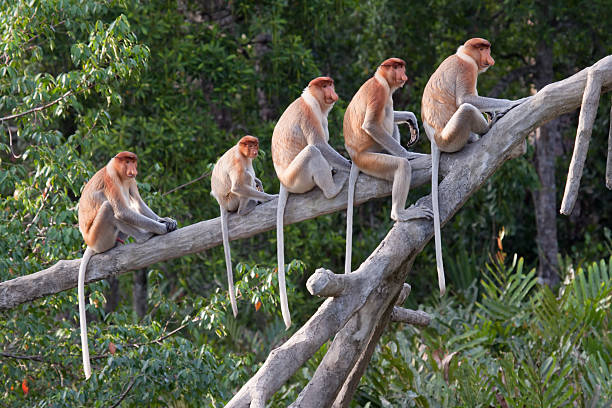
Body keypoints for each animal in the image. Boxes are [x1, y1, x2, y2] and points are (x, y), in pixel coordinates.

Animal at [77, 151, 177, 378]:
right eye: (127, 161)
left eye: (133, 161)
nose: (133, 169)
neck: (120, 174)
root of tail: (89, 242)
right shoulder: (112, 179)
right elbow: (122, 211)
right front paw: (159, 228)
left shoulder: (131, 181)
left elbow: (138, 202)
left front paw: (166, 220)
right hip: (99, 237)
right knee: (110, 208)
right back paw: (143, 236)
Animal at [212, 135, 276, 318]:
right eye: (249, 145)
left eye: (255, 145)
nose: (254, 150)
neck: (241, 151)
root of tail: (221, 203)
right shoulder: (238, 161)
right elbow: (239, 186)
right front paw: (269, 197)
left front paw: (259, 183)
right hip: (232, 200)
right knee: (245, 178)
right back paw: (246, 208)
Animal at [342, 57, 432, 274]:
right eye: (397, 67)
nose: (404, 75)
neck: (380, 80)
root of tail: (355, 157)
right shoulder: (379, 92)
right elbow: (371, 125)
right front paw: (409, 155)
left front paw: (411, 118)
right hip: (371, 158)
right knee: (399, 164)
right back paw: (400, 213)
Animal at [424, 38, 528, 294]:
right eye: (483, 49)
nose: (490, 58)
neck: (463, 55)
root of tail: (434, 139)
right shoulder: (467, 69)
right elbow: (467, 99)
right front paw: (512, 103)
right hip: (452, 136)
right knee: (466, 109)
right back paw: (487, 127)